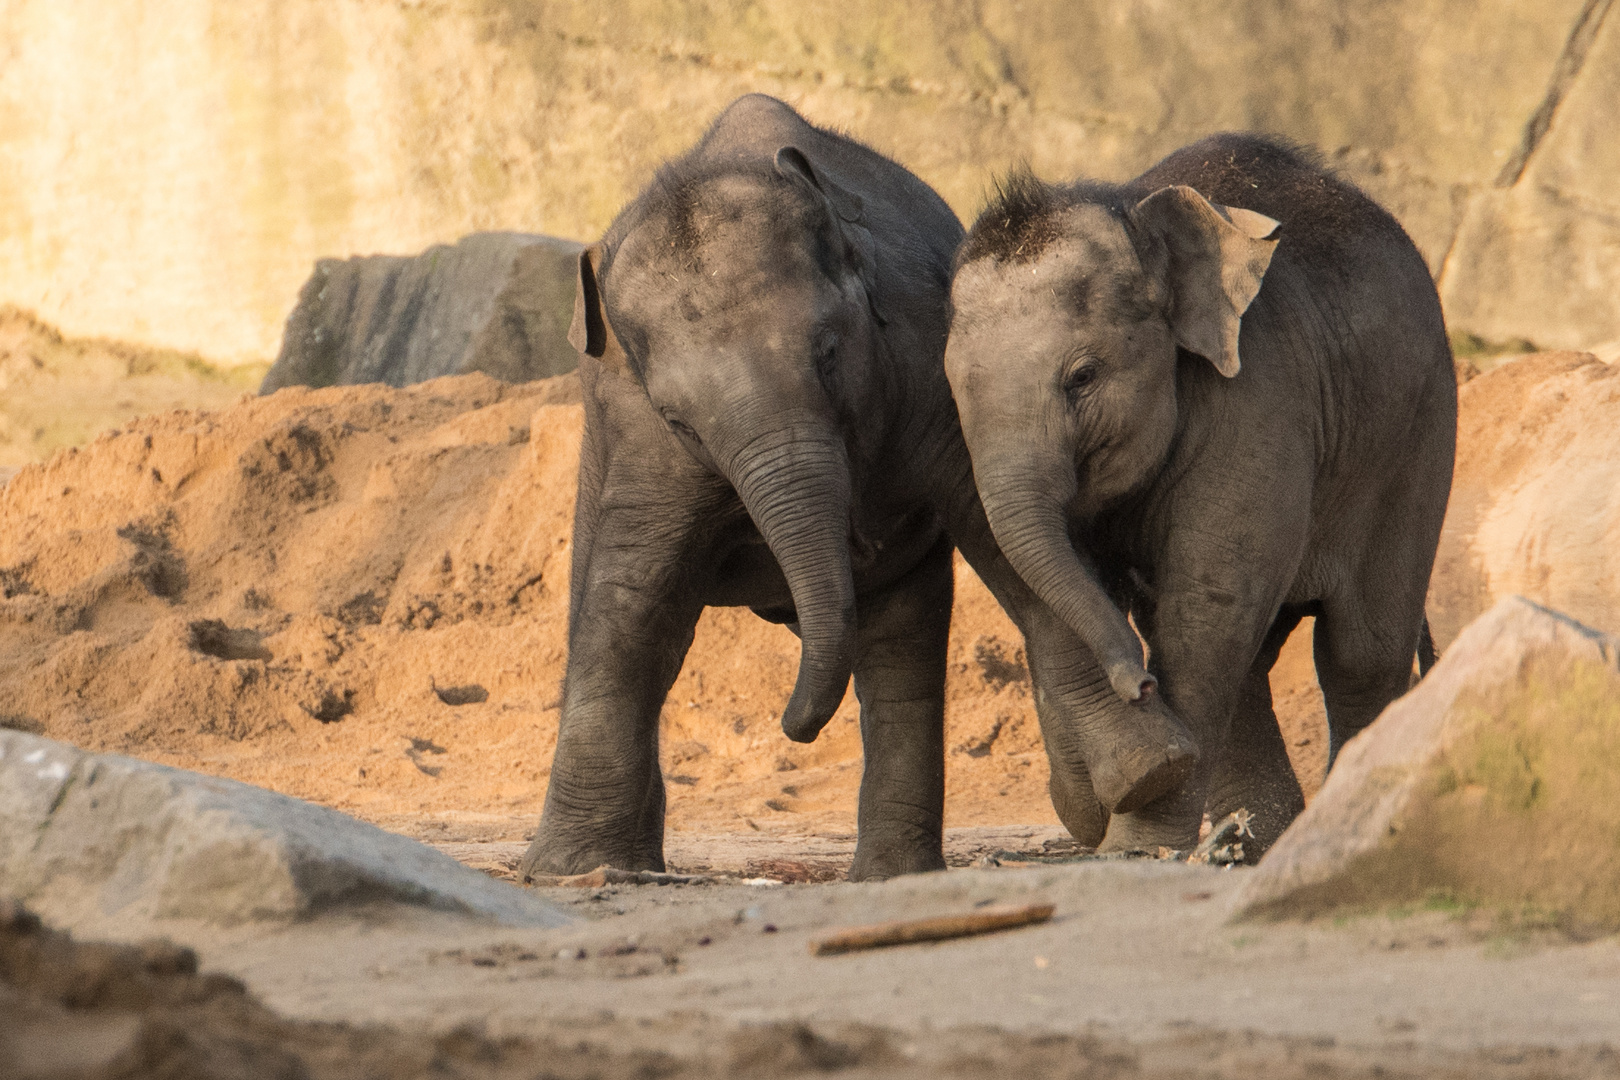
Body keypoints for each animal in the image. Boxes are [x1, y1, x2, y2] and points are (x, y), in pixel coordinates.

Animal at [524, 95, 1198, 880]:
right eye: (677, 418)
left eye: (828, 353)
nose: (792, 729)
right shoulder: (636, 435)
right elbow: (634, 591)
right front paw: (569, 869)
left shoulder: (930, 358)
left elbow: (999, 533)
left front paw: (1148, 774)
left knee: (900, 636)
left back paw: (902, 868)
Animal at [946, 135, 1464, 854]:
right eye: (953, 389)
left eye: (1083, 377)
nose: (1138, 684)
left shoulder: (1258, 399)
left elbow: (1206, 606)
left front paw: (1134, 848)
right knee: (1260, 663)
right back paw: (1252, 841)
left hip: (1416, 434)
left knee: (1361, 650)